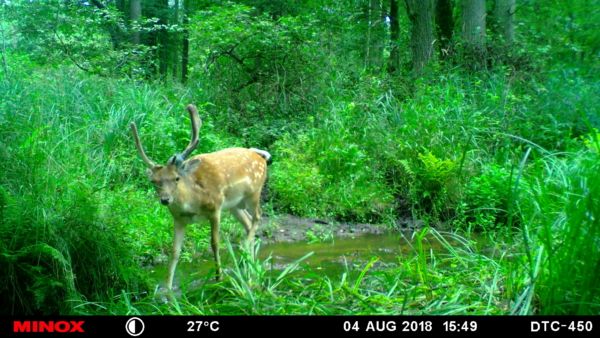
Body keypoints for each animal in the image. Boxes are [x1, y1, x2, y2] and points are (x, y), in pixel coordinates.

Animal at [132, 104, 274, 290]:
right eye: (154, 181)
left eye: (176, 178)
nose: (165, 200)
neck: (193, 203)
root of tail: (261, 157)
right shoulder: (179, 219)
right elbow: (175, 251)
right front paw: (167, 289)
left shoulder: (215, 208)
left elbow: (214, 243)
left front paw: (218, 277)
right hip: (234, 205)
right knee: (248, 221)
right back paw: (249, 266)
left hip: (254, 192)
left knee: (258, 215)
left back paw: (244, 250)